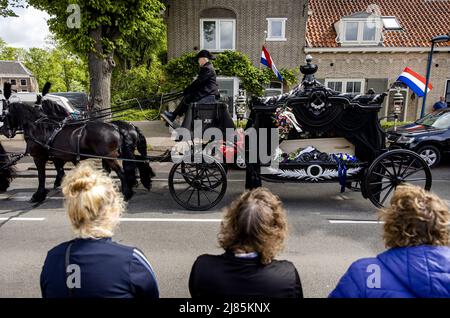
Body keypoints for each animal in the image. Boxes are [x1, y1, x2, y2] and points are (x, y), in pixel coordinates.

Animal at [1, 102, 135, 201]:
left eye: (4, 116)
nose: (4, 130)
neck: (38, 128)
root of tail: (115, 127)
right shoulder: (57, 157)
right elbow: (60, 172)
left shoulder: (38, 157)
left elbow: (41, 176)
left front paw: (38, 195)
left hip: (109, 156)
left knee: (121, 173)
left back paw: (127, 193)